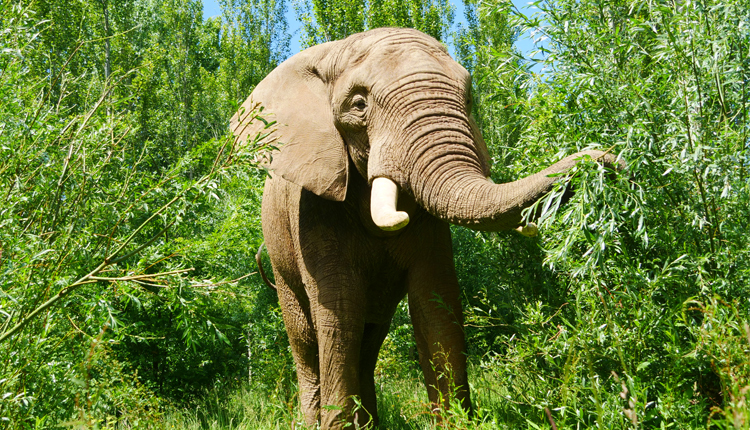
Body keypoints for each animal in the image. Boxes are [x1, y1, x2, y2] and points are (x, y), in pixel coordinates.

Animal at [232, 28, 624, 428]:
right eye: (358, 104)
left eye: (469, 98)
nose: (606, 160)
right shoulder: (313, 206)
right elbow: (340, 310)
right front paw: (338, 426)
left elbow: (435, 302)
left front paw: (456, 422)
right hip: (278, 251)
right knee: (306, 337)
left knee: (371, 334)